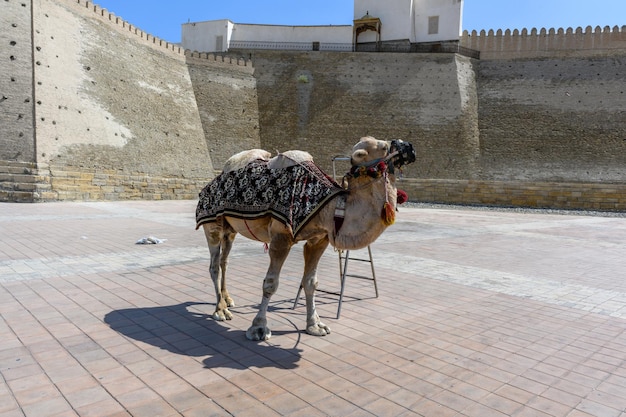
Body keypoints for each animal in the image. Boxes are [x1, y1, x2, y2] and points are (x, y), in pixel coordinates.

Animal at [195, 135, 414, 340]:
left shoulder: (318, 239)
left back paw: (227, 300)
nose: (410, 147)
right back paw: (220, 310)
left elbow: (310, 282)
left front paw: (315, 325)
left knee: (224, 261)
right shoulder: (281, 238)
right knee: (214, 266)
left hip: (230, 229)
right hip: (211, 224)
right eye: (384, 146)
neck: (328, 207)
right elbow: (270, 284)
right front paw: (258, 328)